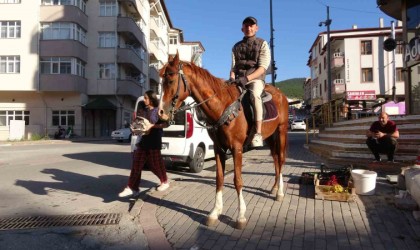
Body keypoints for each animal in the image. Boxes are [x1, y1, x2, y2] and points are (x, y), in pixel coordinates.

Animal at [158, 53, 288, 229]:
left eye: (170, 80)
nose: (160, 112)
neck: (222, 106)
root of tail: (281, 95)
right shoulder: (219, 149)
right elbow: (219, 179)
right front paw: (215, 212)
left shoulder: (236, 148)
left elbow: (237, 180)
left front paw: (241, 216)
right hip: (270, 137)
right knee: (275, 159)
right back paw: (274, 188)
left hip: (281, 131)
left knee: (280, 159)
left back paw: (279, 192)